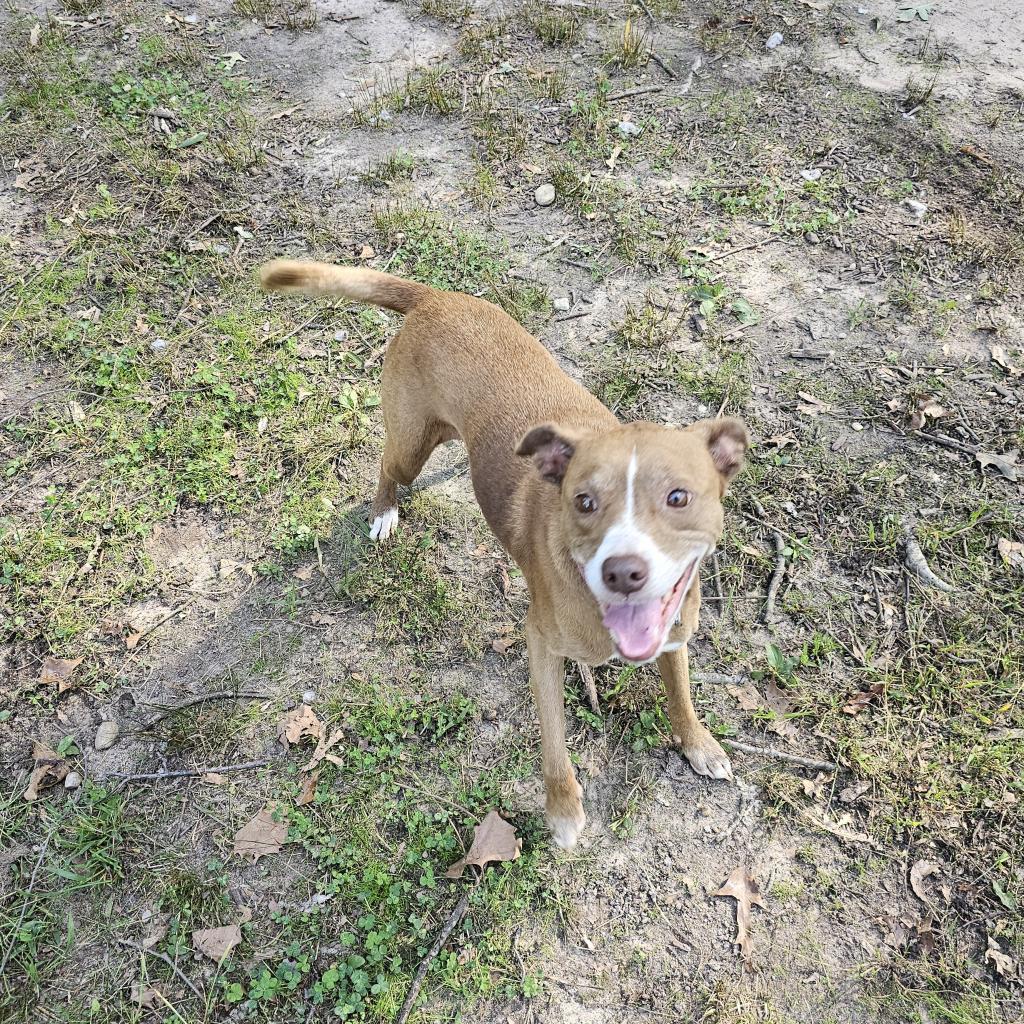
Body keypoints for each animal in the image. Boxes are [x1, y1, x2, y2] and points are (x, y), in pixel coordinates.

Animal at [260, 260, 749, 851]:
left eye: (678, 497)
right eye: (584, 501)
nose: (624, 572)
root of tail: (433, 296)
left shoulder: (674, 633)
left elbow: (680, 695)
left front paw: (697, 743)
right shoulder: (541, 644)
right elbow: (555, 742)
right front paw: (563, 810)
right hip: (410, 445)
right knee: (385, 465)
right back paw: (383, 513)